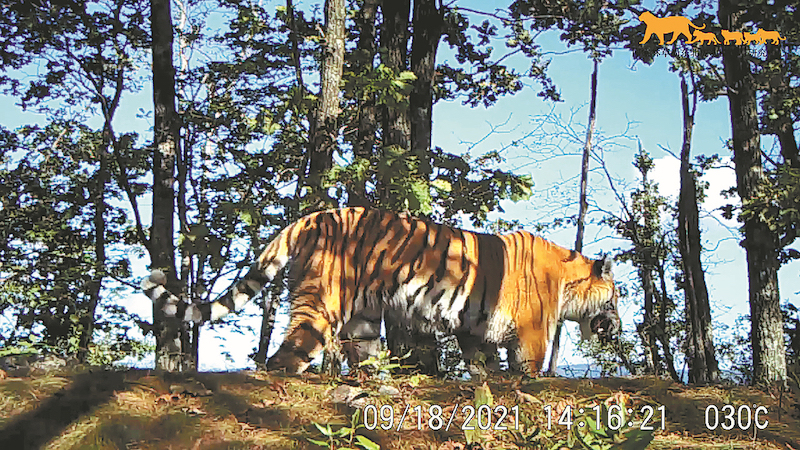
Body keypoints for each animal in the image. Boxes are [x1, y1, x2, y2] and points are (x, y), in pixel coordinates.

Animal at [141, 208, 620, 376]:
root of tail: (310, 217)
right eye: (617, 298)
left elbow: (483, 365)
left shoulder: (474, 326)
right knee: (285, 356)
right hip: (323, 304)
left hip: (364, 320)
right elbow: (529, 367)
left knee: (364, 359)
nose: (617, 325)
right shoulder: (533, 331)